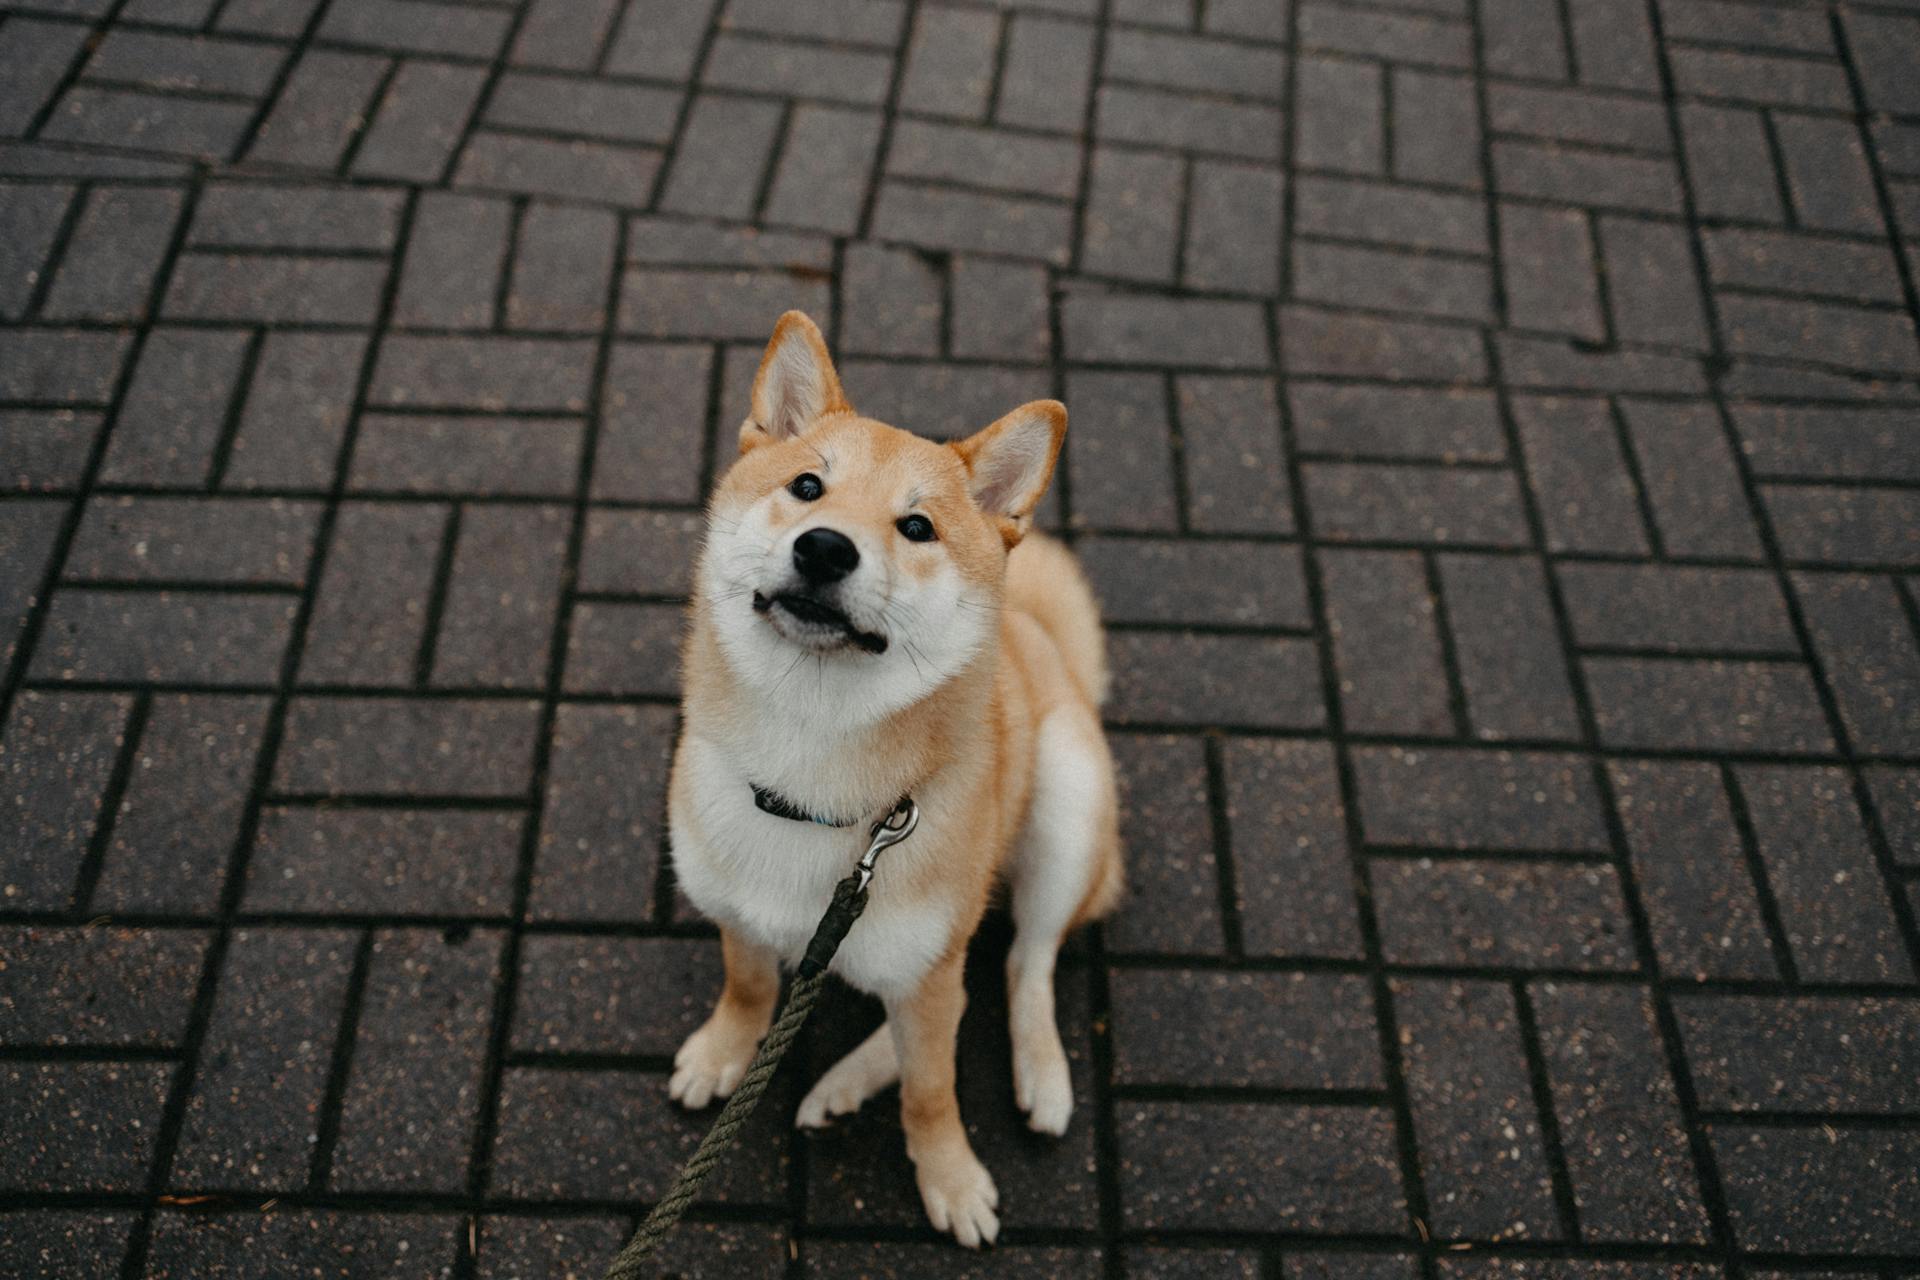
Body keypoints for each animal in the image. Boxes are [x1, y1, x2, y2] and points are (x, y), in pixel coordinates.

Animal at [668, 312, 1121, 1251]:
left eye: (916, 528)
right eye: (807, 486)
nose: (825, 547)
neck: (806, 780)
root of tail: (1045, 645)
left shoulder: (927, 963)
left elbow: (933, 1089)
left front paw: (948, 1176)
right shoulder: (735, 911)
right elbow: (750, 986)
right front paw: (728, 1051)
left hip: (1065, 807)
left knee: (1019, 964)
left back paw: (1040, 1073)